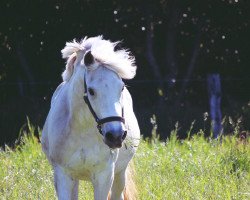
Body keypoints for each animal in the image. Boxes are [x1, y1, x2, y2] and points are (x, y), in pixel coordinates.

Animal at [40, 36, 140, 200]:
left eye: (121, 88)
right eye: (91, 91)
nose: (115, 136)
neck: (83, 130)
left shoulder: (104, 176)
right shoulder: (63, 176)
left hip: (120, 173)